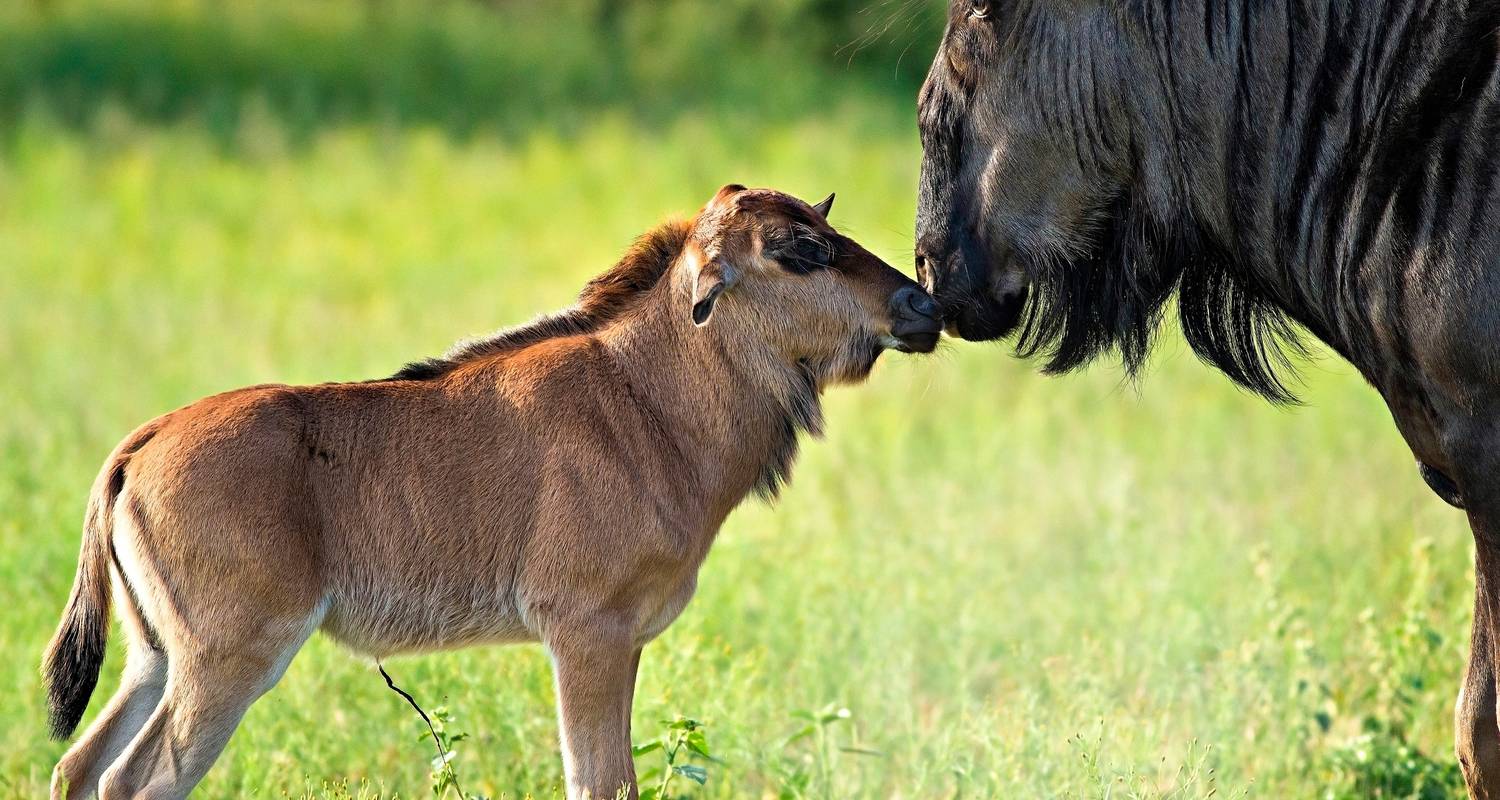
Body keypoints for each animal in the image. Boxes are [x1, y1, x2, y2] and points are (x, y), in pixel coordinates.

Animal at [43, 185, 936, 798]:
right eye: (797, 247)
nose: (920, 302)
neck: (647, 400)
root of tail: (137, 448)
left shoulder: (625, 642)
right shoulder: (585, 635)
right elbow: (599, 783)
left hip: (154, 657)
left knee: (78, 767)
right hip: (228, 661)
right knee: (135, 781)